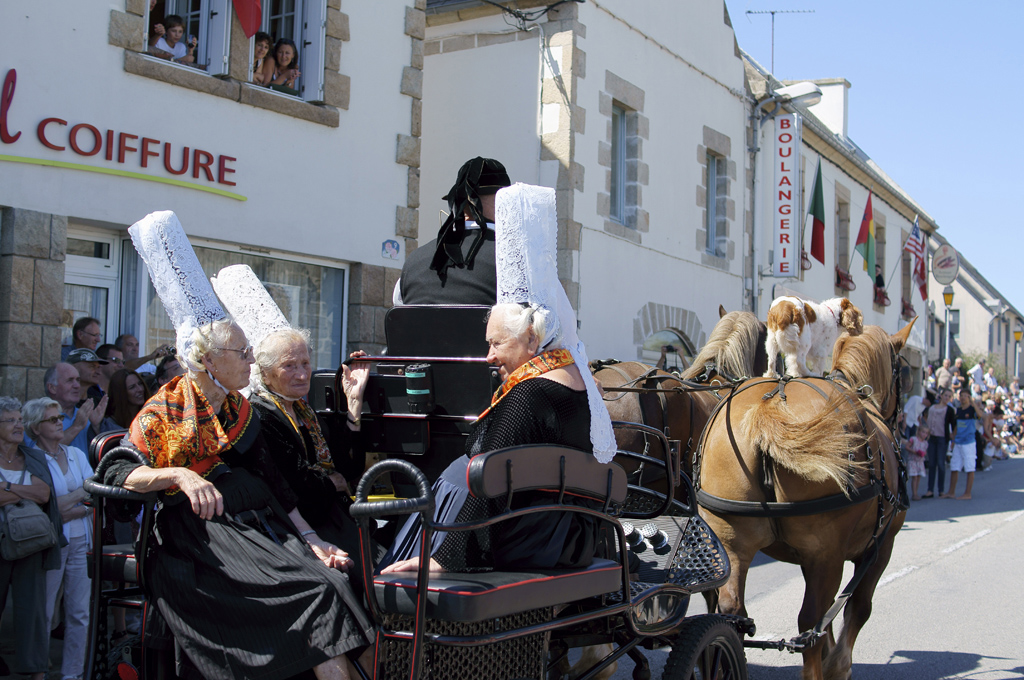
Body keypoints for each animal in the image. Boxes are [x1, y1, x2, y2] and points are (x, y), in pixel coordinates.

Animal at [694, 322, 914, 680]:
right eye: (902, 372)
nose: (901, 418)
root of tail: (769, 406)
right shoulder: (879, 548)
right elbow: (857, 609)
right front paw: (838, 665)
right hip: (826, 554)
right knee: (810, 623)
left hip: (732, 543)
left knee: (733, 612)